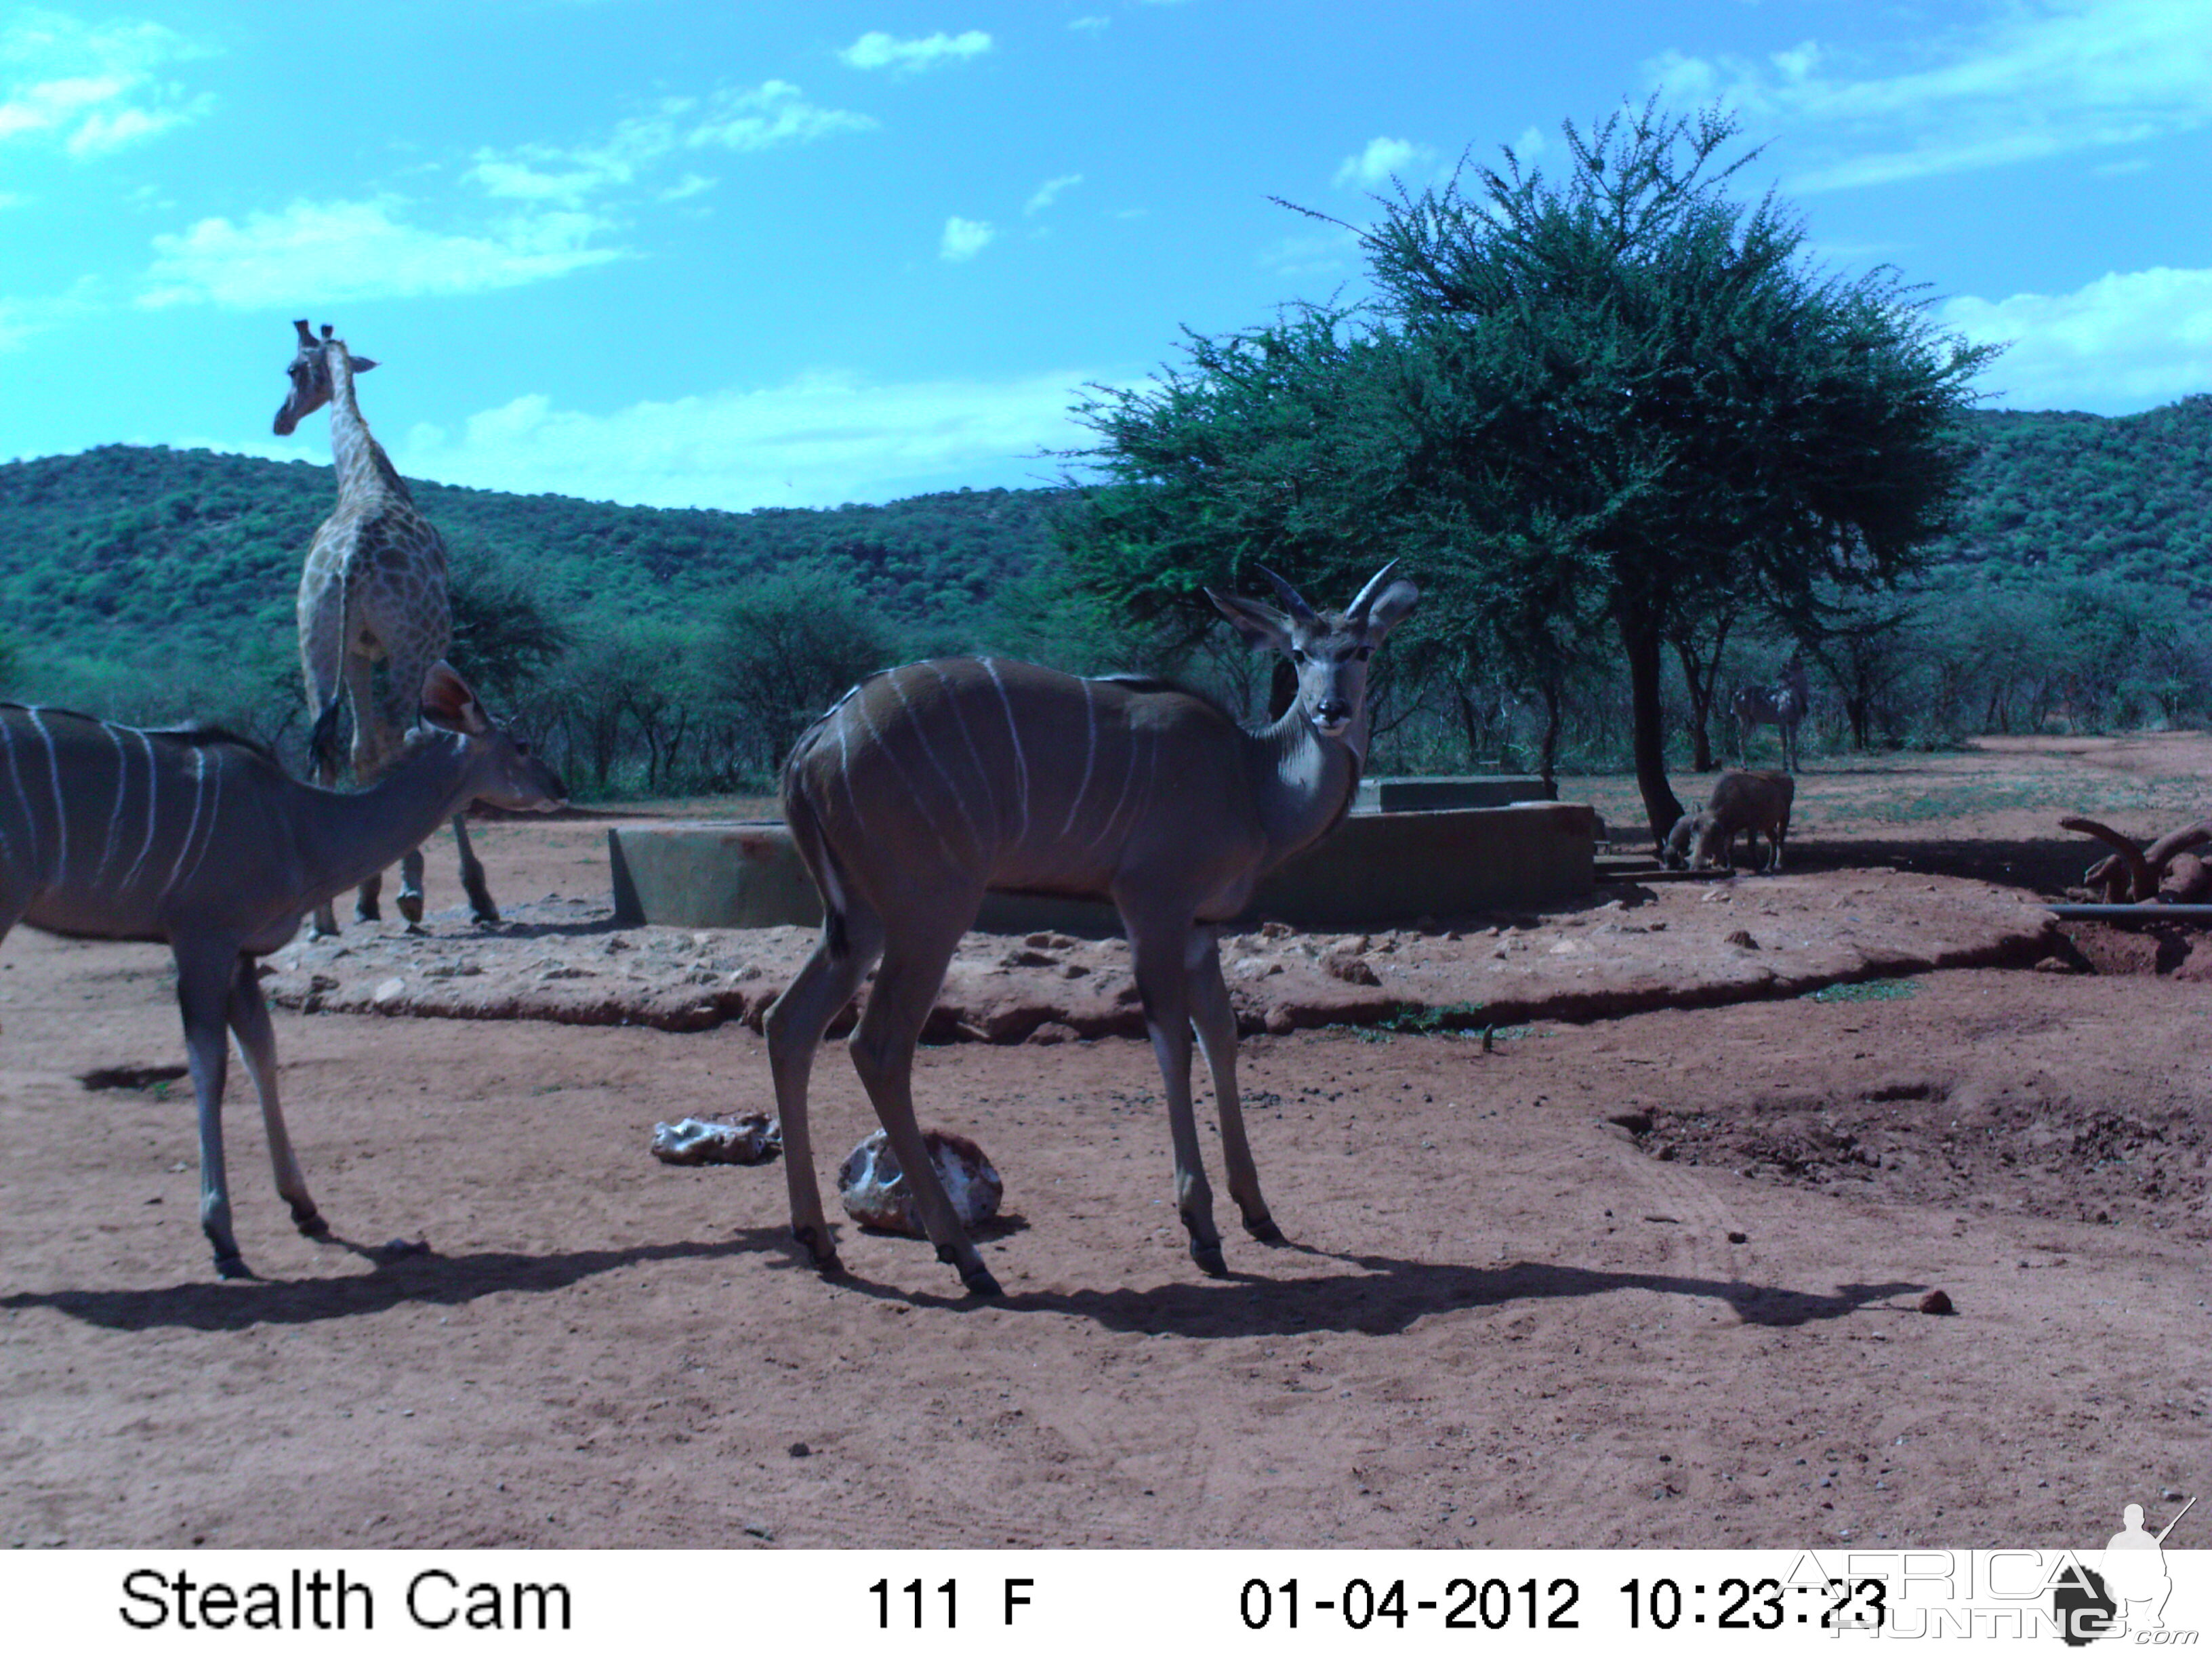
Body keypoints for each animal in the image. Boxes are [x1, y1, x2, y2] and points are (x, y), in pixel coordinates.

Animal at [0, 668, 566, 1283]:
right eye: (522, 745)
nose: (561, 786)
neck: (297, 824)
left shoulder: (239, 955)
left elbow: (262, 1056)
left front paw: (306, 1208)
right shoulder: (202, 942)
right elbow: (209, 1068)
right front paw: (222, 1238)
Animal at [274, 314, 499, 937]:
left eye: (292, 369)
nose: (279, 420)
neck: (365, 478)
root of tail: (351, 560)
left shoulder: (357, 651)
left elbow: (362, 752)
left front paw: (364, 894)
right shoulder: (418, 649)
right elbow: (434, 744)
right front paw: (469, 894)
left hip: (314, 644)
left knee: (329, 750)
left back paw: (324, 915)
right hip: (408, 648)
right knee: (405, 742)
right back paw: (416, 892)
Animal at [760, 566, 1415, 1292]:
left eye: (1361, 650)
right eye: (1298, 654)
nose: (1331, 711)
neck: (1251, 778)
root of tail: (813, 746)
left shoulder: (1200, 928)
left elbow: (1221, 1034)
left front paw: (1260, 1214)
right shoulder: (1152, 908)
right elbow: (1171, 1043)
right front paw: (1203, 1233)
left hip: (862, 922)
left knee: (788, 1024)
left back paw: (821, 1242)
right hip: (930, 913)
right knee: (876, 1046)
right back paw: (966, 1258)